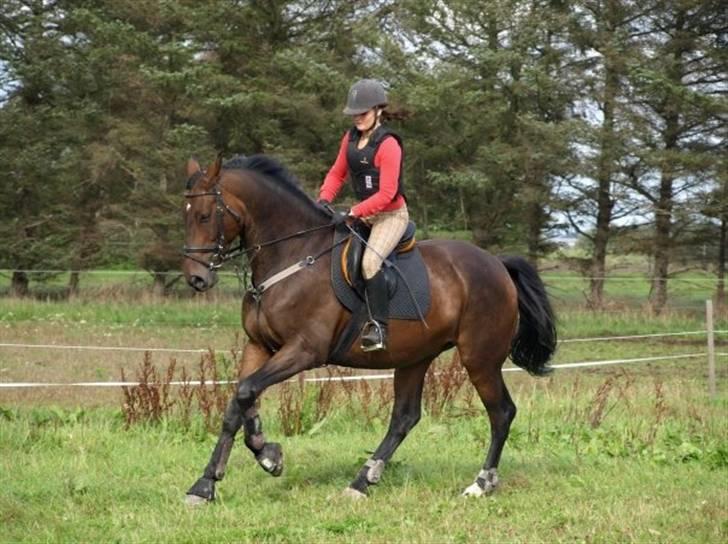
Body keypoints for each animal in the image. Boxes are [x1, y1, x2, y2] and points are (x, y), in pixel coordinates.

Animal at [182, 152, 556, 502]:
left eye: (205, 214)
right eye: (185, 215)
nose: (196, 279)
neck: (293, 254)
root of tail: (497, 264)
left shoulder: (303, 350)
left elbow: (246, 392)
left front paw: (259, 458)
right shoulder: (259, 346)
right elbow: (238, 401)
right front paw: (216, 478)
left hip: (480, 358)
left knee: (501, 412)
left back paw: (480, 483)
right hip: (415, 357)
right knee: (404, 418)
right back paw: (362, 481)